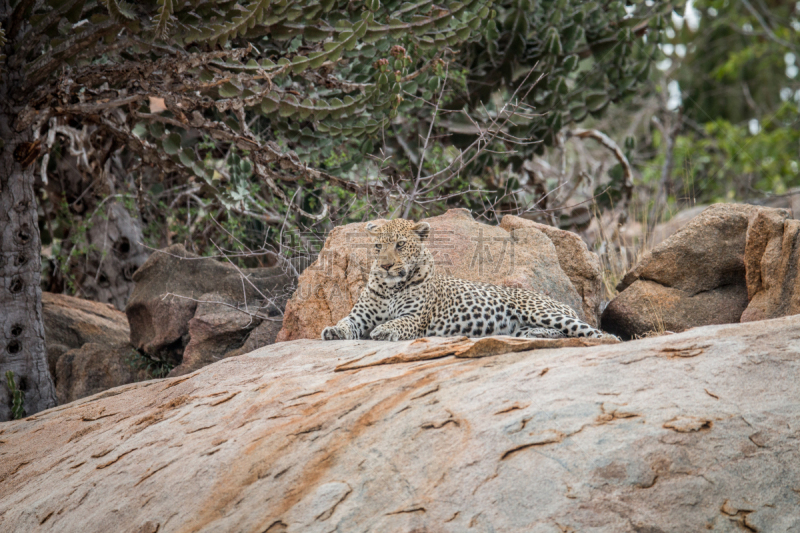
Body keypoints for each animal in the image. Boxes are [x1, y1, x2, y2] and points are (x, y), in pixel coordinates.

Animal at [322, 219, 616, 340]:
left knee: (592, 331)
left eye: (400, 245)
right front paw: (334, 330)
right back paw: (537, 334)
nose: (385, 266)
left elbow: (399, 321)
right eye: (377, 247)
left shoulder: (416, 318)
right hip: (522, 325)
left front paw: (385, 330)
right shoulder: (361, 316)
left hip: (540, 311)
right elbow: (346, 322)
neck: (392, 287)